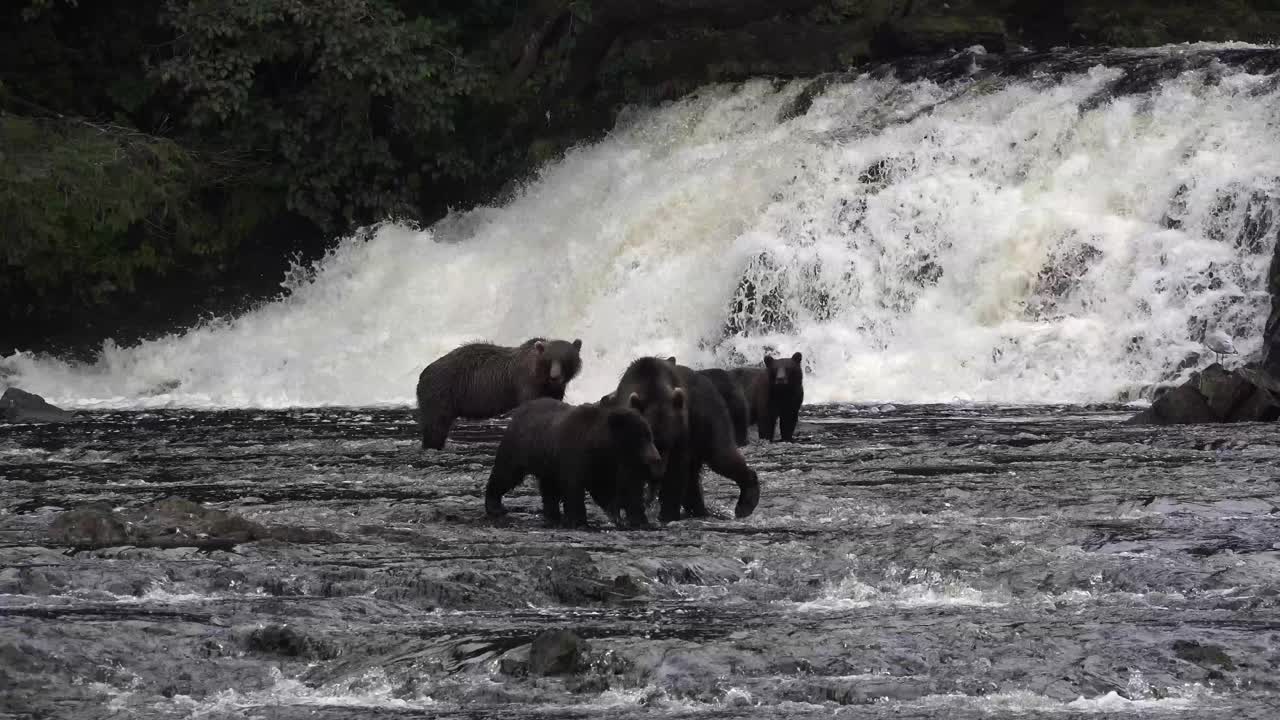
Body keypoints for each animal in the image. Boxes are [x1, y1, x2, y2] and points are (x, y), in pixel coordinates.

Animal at [417, 333, 583, 445]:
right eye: (549, 360)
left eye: (565, 359)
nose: (555, 376)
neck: (542, 377)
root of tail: (423, 373)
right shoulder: (526, 384)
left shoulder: (555, 390)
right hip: (442, 393)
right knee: (435, 426)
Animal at [481, 394, 660, 525]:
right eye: (639, 439)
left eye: (650, 435)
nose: (655, 458)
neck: (600, 446)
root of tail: (519, 412)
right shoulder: (576, 457)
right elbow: (574, 489)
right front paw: (578, 519)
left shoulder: (608, 465)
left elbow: (618, 489)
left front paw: (629, 517)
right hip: (520, 449)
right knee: (506, 474)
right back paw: (495, 506)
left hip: (548, 463)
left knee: (549, 490)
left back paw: (552, 514)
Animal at [601, 353, 752, 517]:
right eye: (651, 441)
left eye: (668, 443)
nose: (658, 473)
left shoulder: (681, 432)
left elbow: (675, 475)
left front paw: (668, 513)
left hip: (708, 417)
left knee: (721, 456)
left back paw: (745, 503)